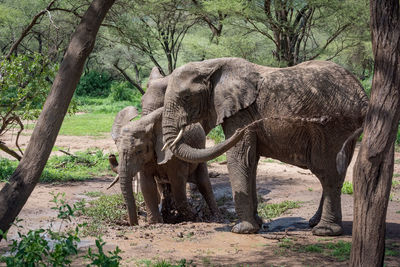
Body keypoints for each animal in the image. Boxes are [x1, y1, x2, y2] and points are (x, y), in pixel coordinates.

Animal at [161, 58, 368, 237]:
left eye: (186, 97)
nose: (255, 124)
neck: (210, 65)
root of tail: (363, 95)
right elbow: (250, 161)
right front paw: (257, 224)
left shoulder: (241, 113)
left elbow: (239, 158)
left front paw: (241, 230)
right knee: (334, 172)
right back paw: (314, 222)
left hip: (334, 126)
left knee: (328, 173)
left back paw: (324, 231)